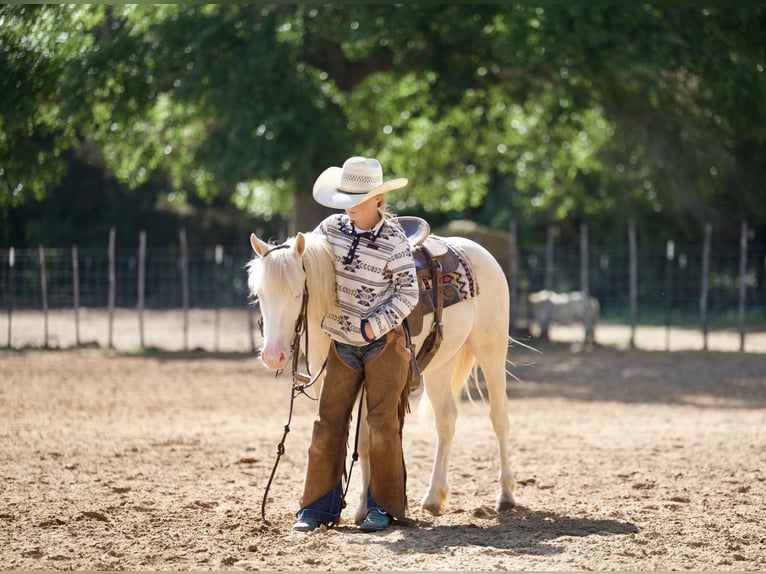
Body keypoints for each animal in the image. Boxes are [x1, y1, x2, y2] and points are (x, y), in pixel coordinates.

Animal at [247, 227, 516, 523]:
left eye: (297, 294)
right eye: (260, 294)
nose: (273, 356)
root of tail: (478, 251)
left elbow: (365, 442)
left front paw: (364, 508)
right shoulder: (325, 380)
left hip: (491, 351)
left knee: (499, 418)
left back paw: (505, 495)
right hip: (441, 365)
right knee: (446, 421)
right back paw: (433, 498)